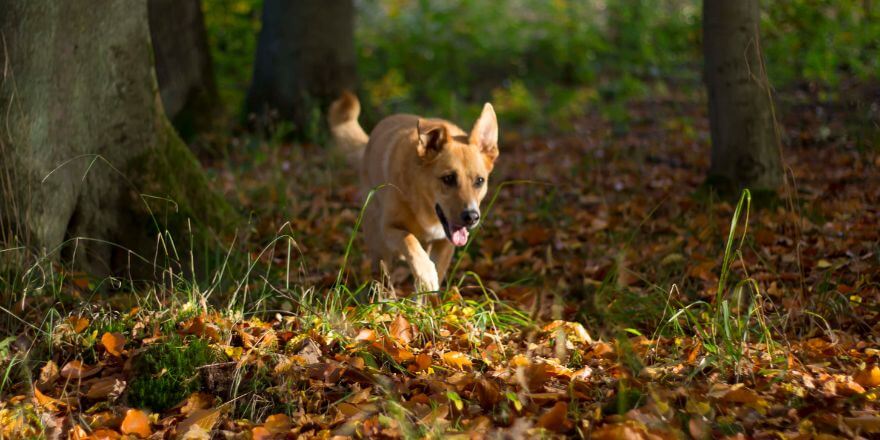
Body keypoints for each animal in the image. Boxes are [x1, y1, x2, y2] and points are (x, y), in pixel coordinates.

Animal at [328, 93, 498, 292]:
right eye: (448, 178)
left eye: (479, 181)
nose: (471, 217)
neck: (427, 210)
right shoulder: (388, 228)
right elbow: (408, 239)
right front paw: (426, 273)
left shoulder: (444, 243)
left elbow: (433, 278)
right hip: (377, 241)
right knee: (383, 275)